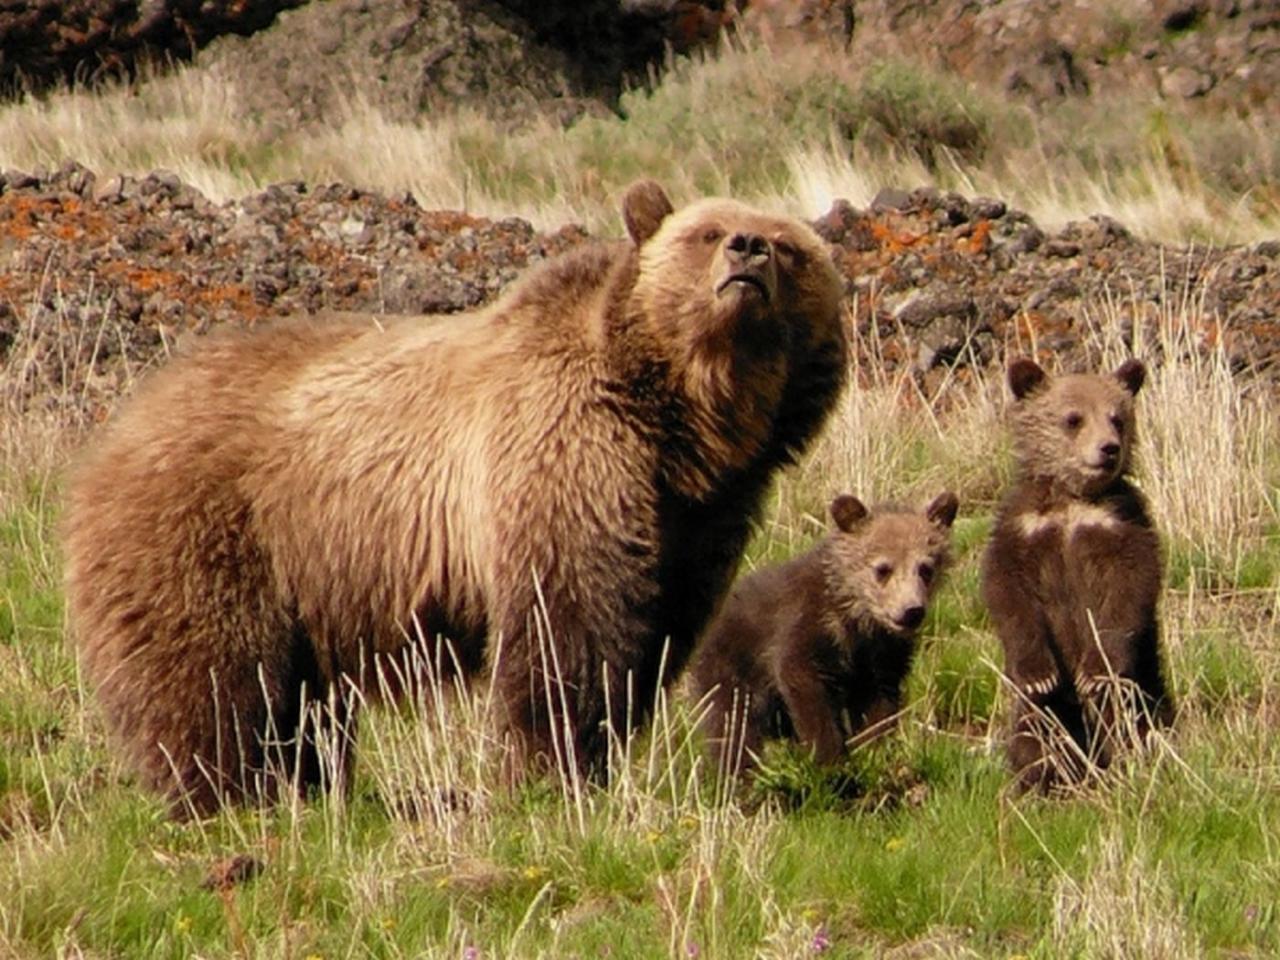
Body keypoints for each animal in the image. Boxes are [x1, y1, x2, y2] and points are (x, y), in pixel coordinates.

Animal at [62, 179, 849, 814]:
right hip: (214, 526)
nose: (749, 250)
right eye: (706, 232)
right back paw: (231, 790)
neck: (680, 419)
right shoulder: (562, 454)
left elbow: (655, 630)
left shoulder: (701, 514)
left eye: (790, 248)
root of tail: (120, 424)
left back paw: (307, 785)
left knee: (303, 698)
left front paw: (598, 750)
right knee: (214, 672)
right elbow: (567, 628)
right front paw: (548, 767)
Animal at [686, 491, 957, 778]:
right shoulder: (804, 626)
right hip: (731, 667)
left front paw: (873, 750)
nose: (911, 611)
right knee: (733, 726)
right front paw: (830, 759)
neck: (856, 617)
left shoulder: (882, 657)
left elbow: (879, 705)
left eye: (926, 568)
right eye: (883, 568)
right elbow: (803, 685)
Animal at [983, 358, 1172, 793]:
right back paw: (1039, 777)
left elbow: (1129, 592)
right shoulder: (1023, 529)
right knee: (1036, 725)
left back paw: (1126, 762)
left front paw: (1095, 672)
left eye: (1117, 417)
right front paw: (1038, 674)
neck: (1073, 501)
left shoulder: (1120, 523)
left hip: (1145, 679)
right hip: (1037, 711)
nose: (1108, 448)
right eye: (1073, 418)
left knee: (1127, 716)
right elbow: (1008, 594)